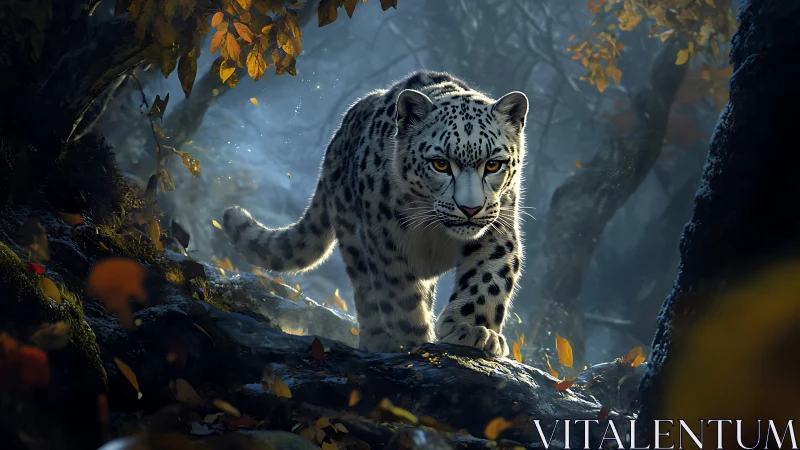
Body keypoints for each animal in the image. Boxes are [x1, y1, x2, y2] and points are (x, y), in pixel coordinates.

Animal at [222, 70, 528, 357]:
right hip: (353, 244)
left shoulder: (498, 230)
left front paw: (474, 331)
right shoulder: (387, 244)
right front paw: (414, 342)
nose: (470, 209)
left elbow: (487, 280)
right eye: (440, 164)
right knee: (367, 298)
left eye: (493, 164)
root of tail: (335, 142)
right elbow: (401, 301)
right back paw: (376, 341)